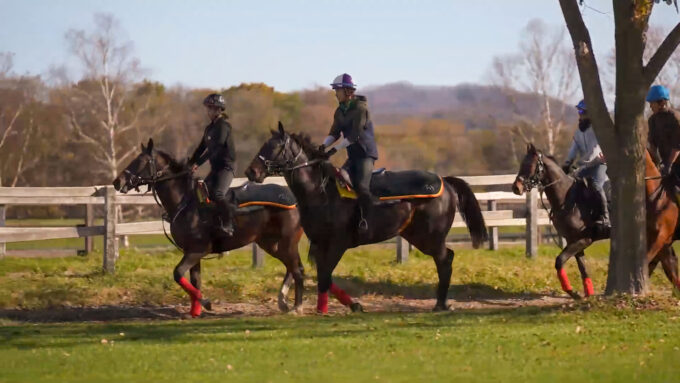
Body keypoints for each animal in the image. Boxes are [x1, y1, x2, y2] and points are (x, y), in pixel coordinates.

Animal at [114, 140, 306, 316]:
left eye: (141, 161)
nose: (117, 181)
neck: (186, 203)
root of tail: (294, 199)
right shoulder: (191, 253)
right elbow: (194, 280)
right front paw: (195, 311)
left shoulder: (197, 251)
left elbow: (178, 273)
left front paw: (206, 303)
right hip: (271, 244)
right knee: (292, 267)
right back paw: (283, 301)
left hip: (287, 243)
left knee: (297, 270)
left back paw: (296, 307)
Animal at [246, 124, 488, 314]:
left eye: (274, 147)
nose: (251, 172)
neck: (321, 191)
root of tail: (445, 182)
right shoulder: (318, 244)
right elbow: (324, 276)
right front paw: (351, 305)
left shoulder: (337, 243)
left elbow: (325, 276)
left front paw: (323, 309)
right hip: (417, 236)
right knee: (446, 258)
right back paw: (442, 303)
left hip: (431, 237)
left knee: (445, 260)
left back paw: (440, 304)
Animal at [510, 144, 612, 300]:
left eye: (530, 165)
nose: (516, 187)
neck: (567, 199)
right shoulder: (573, 241)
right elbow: (582, 267)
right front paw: (587, 294)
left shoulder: (584, 239)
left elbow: (559, 261)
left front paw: (572, 292)